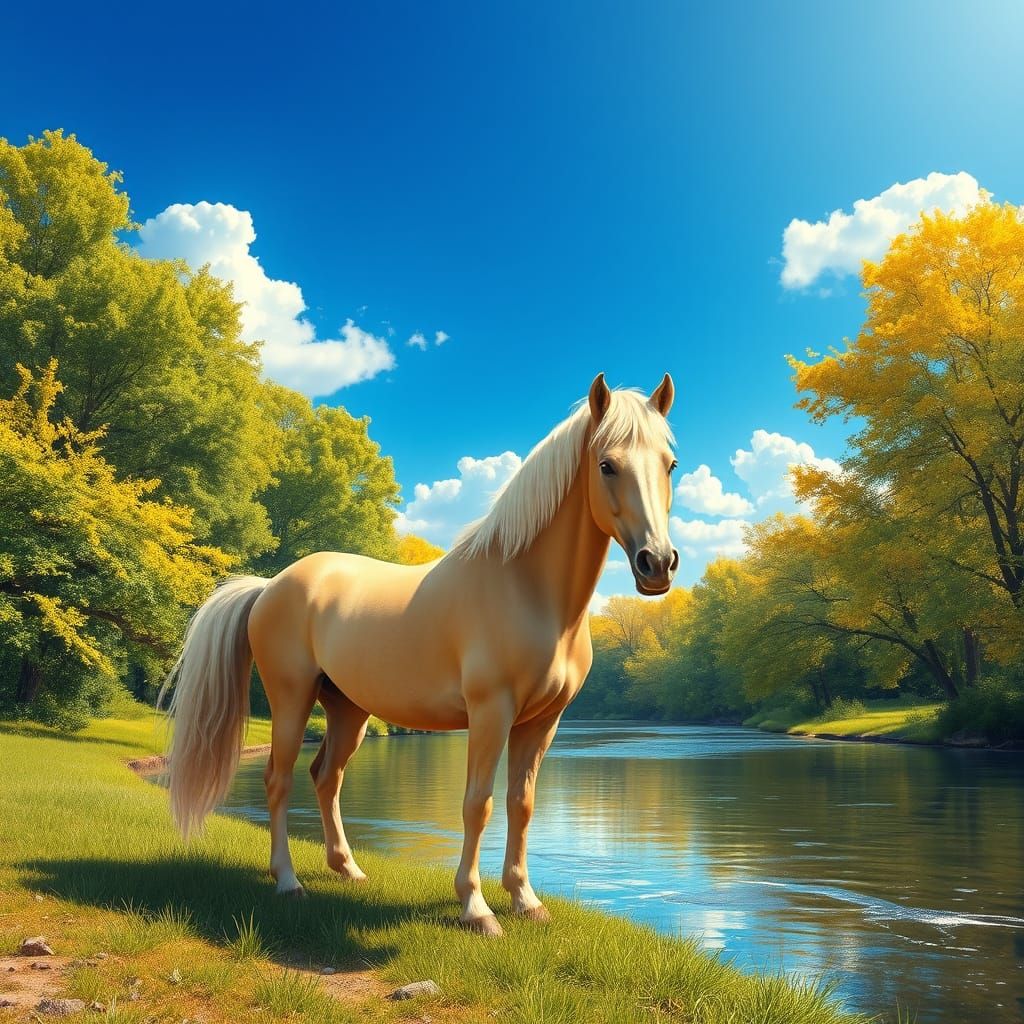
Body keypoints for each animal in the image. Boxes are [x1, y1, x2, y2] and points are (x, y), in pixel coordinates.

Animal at [160, 372, 678, 937]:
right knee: (279, 779)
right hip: (290, 698)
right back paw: (289, 881)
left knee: (326, 777)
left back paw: (348, 869)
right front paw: (477, 908)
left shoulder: (543, 721)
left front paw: (526, 900)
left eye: (670, 464)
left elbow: (521, 805)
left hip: (348, 709)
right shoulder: (491, 713)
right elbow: (478, 804)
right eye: (606, 465)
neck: (526, 590)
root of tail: (270, 585)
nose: (657, 564)